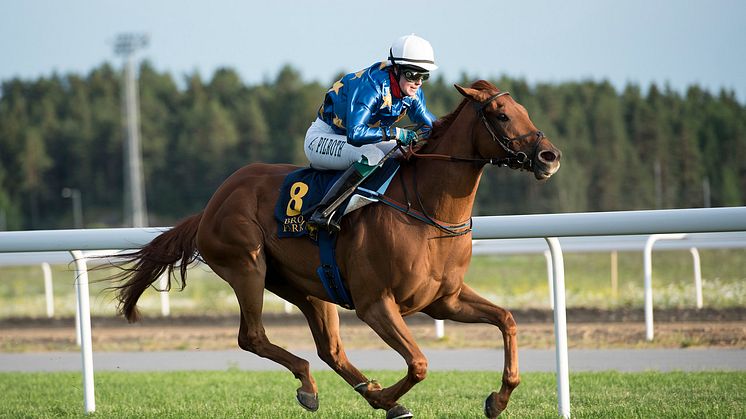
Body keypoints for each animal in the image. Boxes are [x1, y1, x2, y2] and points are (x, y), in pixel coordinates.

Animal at [106, 80, 560, 418]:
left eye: (524, 110)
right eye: (502, 115)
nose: (549, 156)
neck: (426, 211)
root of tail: (211, 204)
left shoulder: (443, 299)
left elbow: (507, 320)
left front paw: (497, 399)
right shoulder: (375, 303)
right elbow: (419, 364)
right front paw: (387, 396)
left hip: (306, 286)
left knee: (330, 349)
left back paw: (345, 388)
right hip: (247, 266)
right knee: (252, 337)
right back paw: (322, 387)